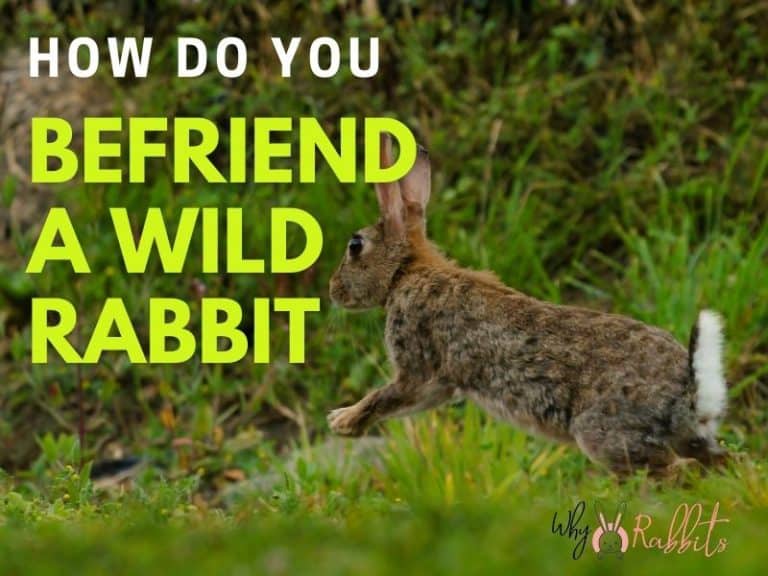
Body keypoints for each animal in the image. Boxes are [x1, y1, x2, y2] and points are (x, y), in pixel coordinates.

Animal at [328, 134, 729, 476]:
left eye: (355, 246)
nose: (333, 290)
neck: (406, 272)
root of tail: (688, 391)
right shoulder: (439, 384)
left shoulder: (416, 363)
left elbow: (386, 395)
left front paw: (343, 422)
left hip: (604, 434)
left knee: (676, 471)